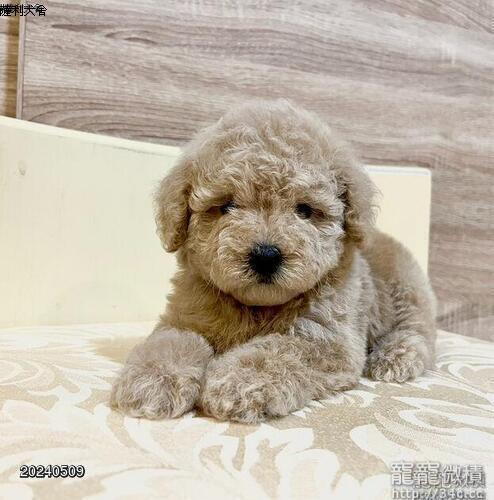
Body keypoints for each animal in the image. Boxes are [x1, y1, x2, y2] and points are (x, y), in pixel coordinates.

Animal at [110, 99, 436, 423]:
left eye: (304, 210)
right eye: (227, 206)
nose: (265, 256)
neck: (258, 307)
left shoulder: (327, 341)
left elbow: (278, 351)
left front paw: (238, 383)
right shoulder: (187, 316)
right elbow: (172, 341)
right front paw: (152, 379)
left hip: (406, 290)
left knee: (420, 332)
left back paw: (395, 357)